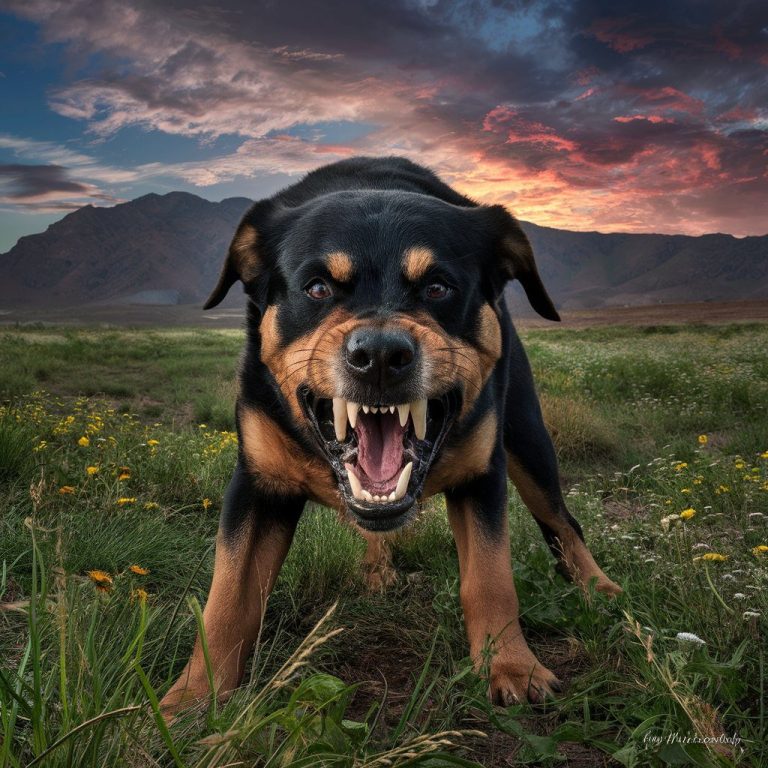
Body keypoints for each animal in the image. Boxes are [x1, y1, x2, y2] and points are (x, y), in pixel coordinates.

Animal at [159, 154, 620, 712]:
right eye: (317, 287)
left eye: (438, 287)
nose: (379, 355)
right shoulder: (257, 484)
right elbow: (228, 598)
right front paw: (191, 698)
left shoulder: (483, 474)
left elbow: (491, 579)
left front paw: (513, 666)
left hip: (528, 438)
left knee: (562, 521)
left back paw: (598, 588)